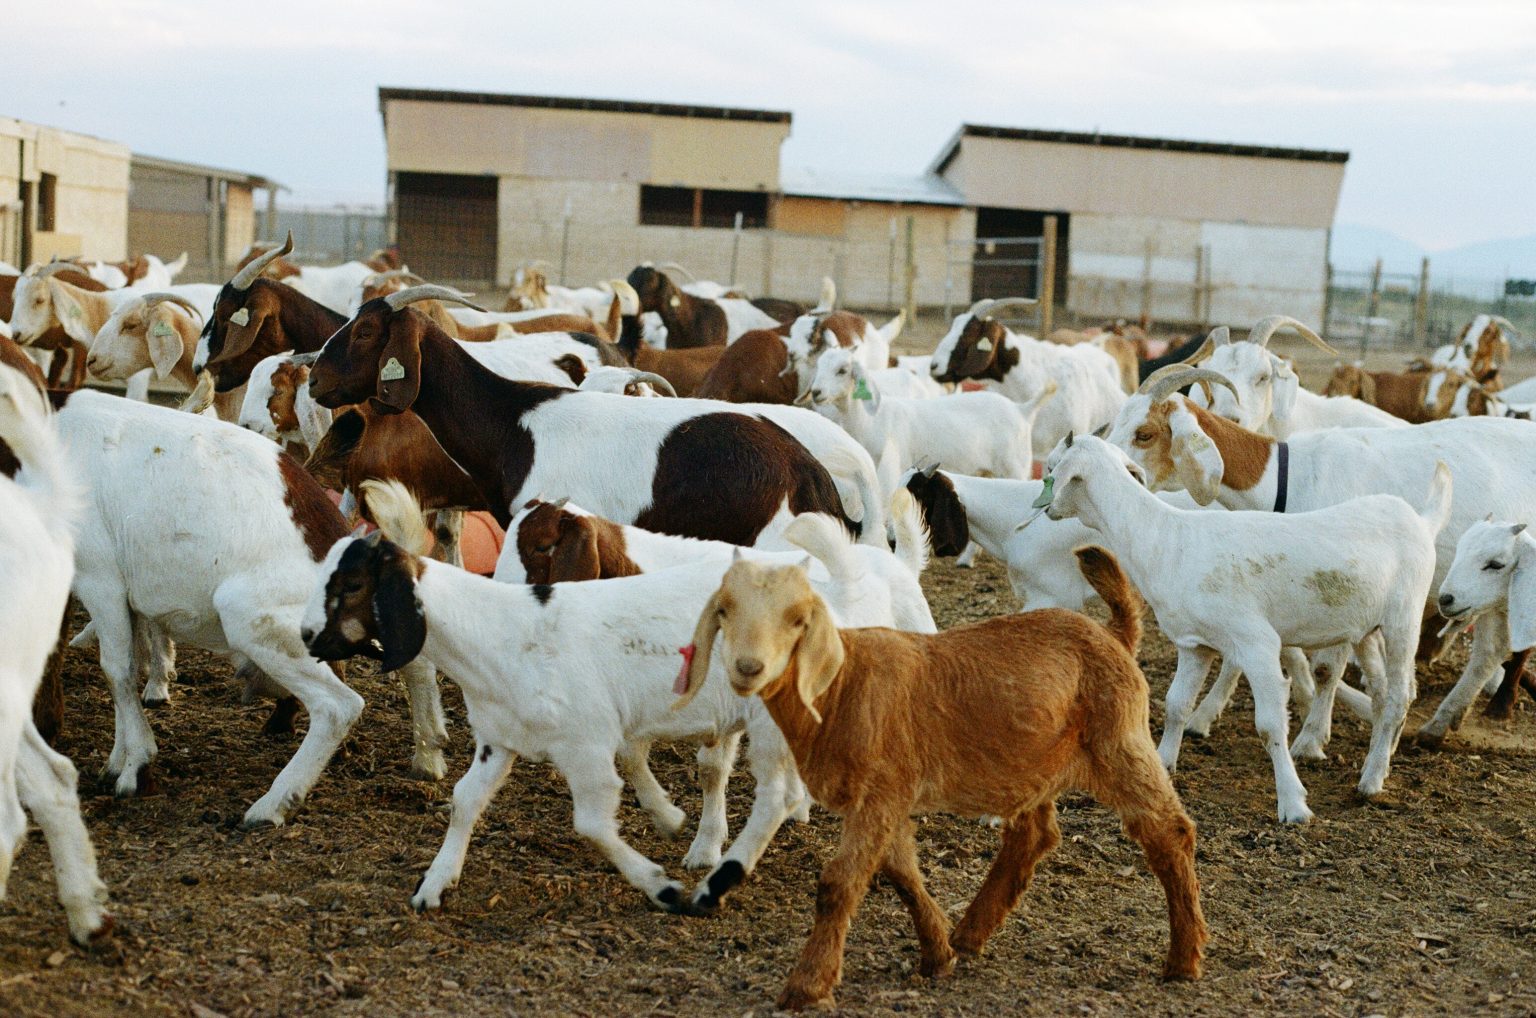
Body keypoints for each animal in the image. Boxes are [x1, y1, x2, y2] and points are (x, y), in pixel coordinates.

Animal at [676, 547, 1206, 1010]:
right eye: (724, 611)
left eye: (797, 619)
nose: (748, 667)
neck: (841, 687)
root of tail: (1114, 634)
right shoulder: (886, 797)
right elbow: (902, 872)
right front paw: (937, 954)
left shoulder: (880, 792)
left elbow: (839, 884)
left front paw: (807, 986)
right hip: (1031, 760)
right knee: (1034, 835)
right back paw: (969, 934)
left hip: (1119, 740)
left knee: (1169, 831)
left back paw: (1184, 958)